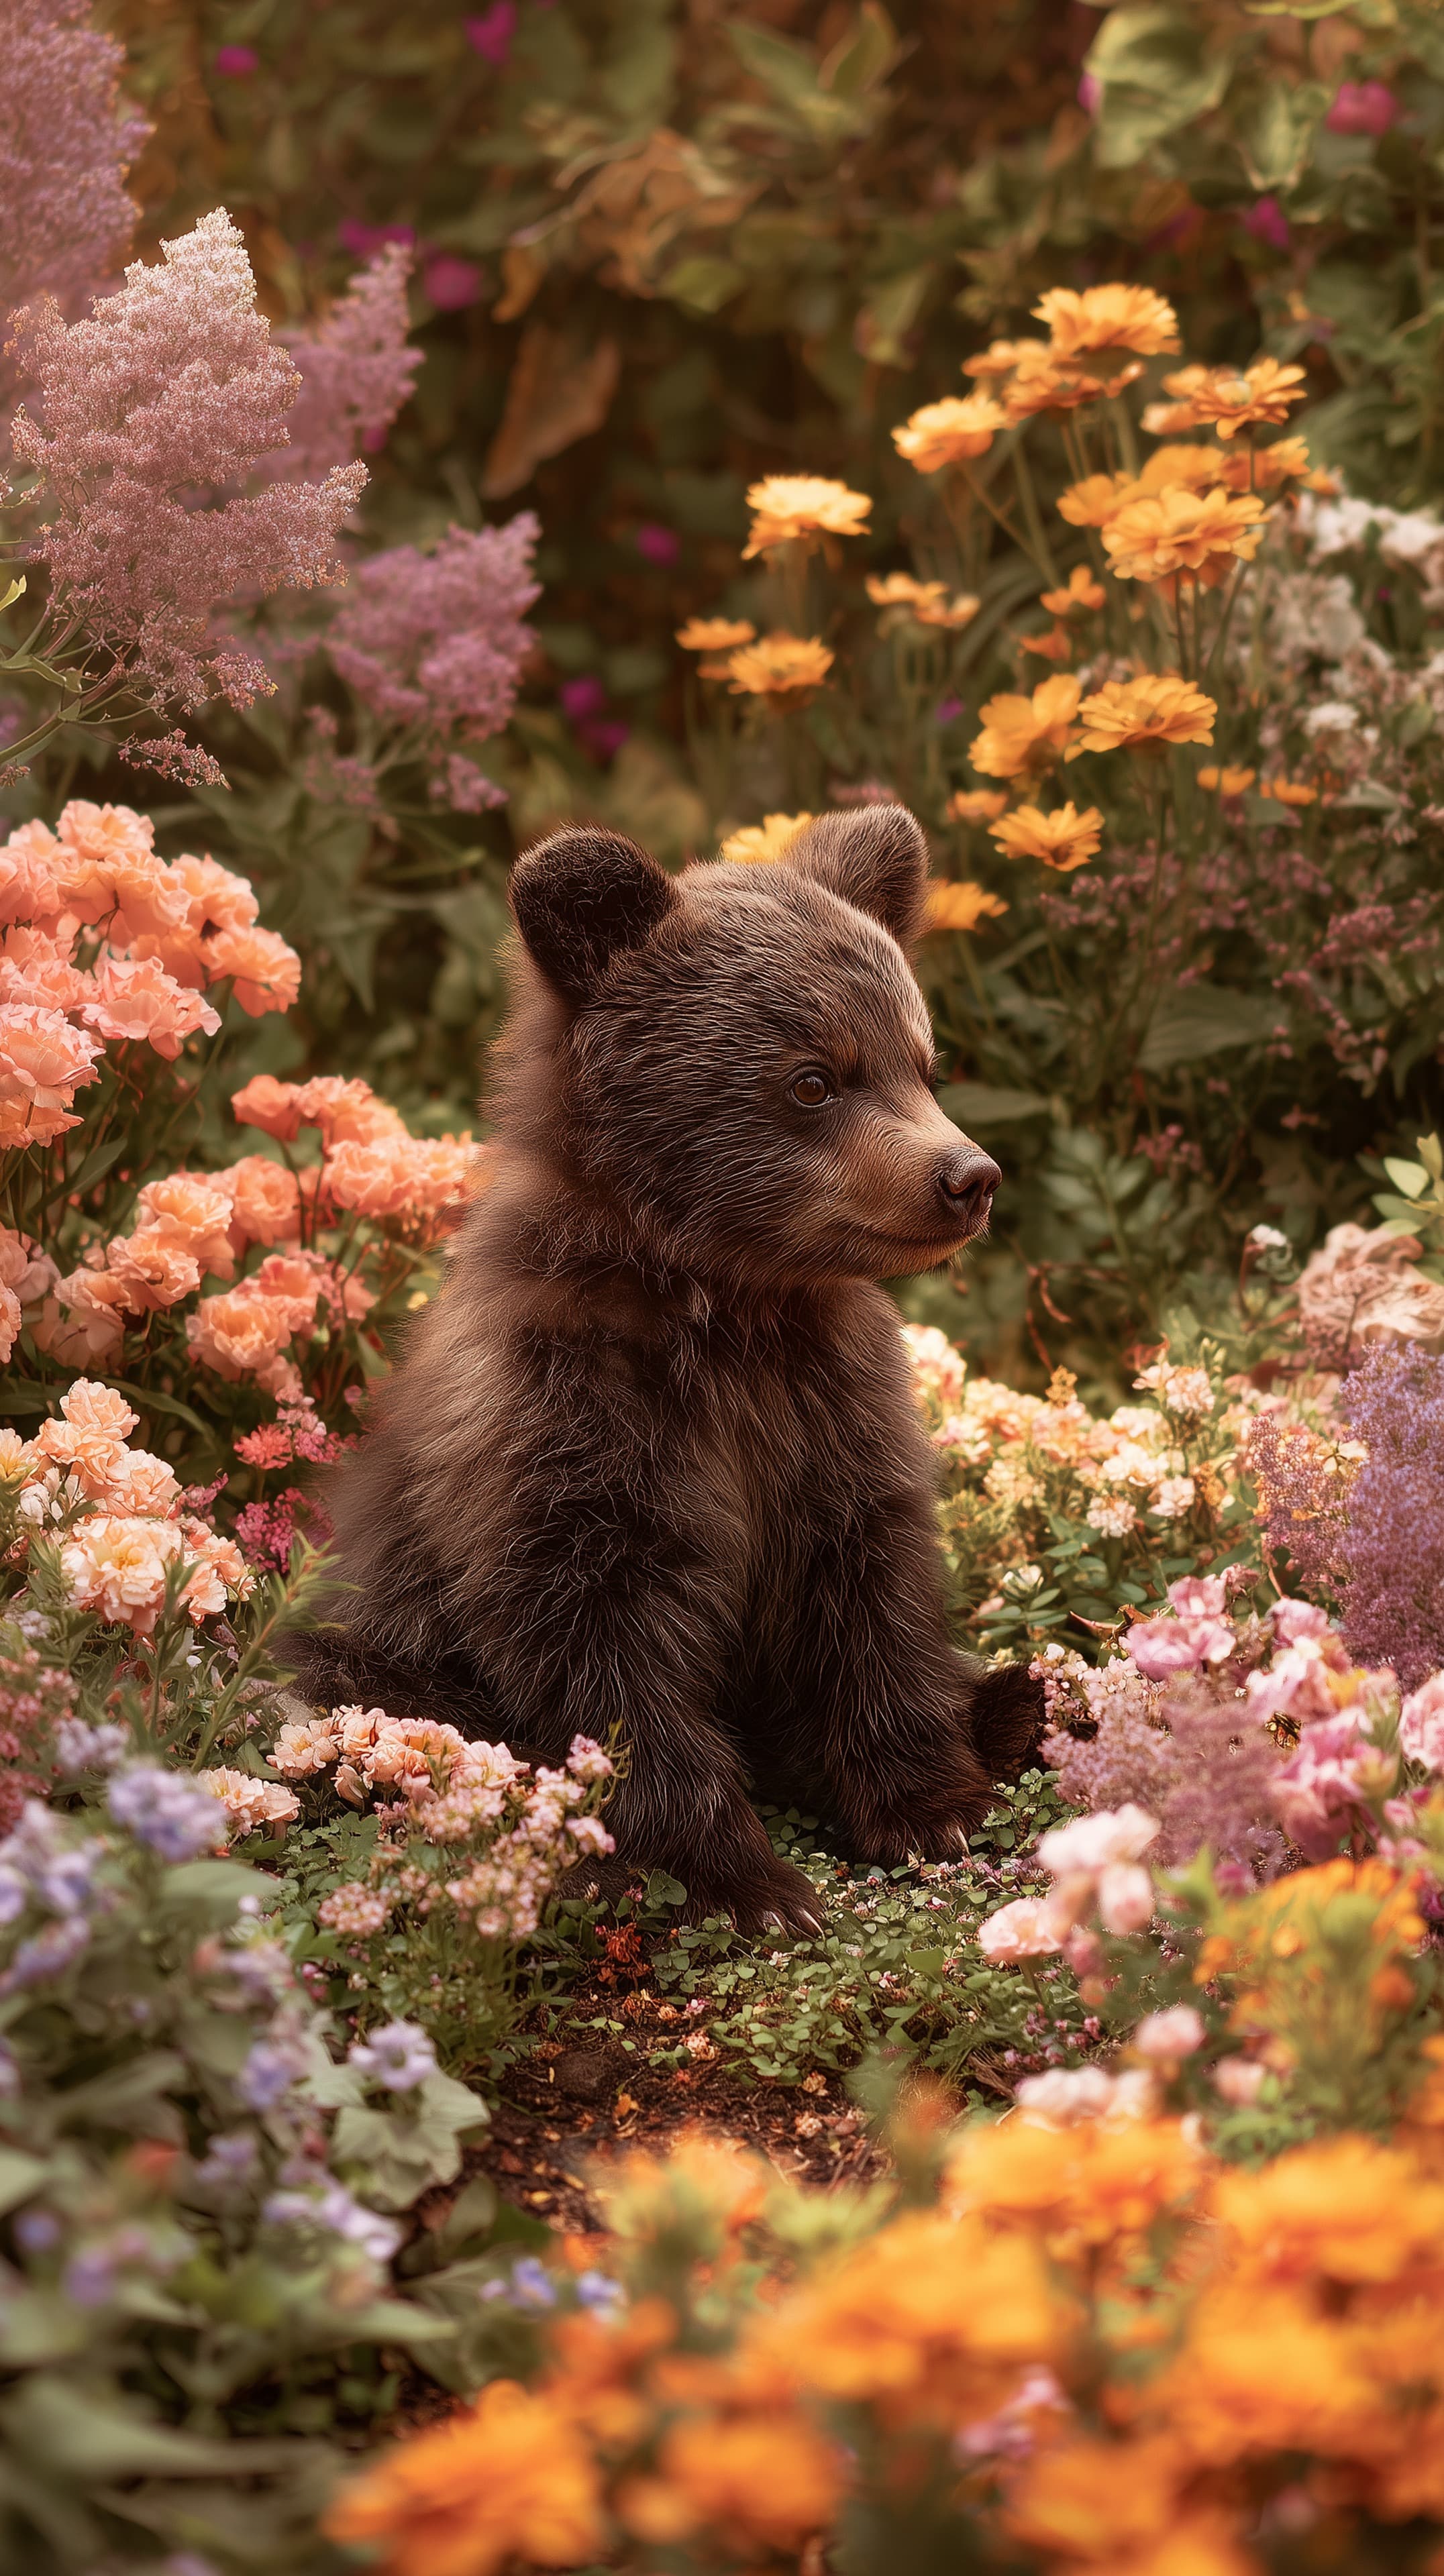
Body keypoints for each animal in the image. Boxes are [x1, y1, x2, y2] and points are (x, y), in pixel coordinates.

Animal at [291, 804, 1044, 1933]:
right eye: (814, 1078)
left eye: (922, 1061)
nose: (968, 1177)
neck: (727, 1300)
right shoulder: (565, 1418)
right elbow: (606, 1658)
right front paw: (748, 1884)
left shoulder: (826, 1404)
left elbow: (869, 1581)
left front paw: (930, 1804)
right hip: (383, 1645)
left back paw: (1015, 1699)